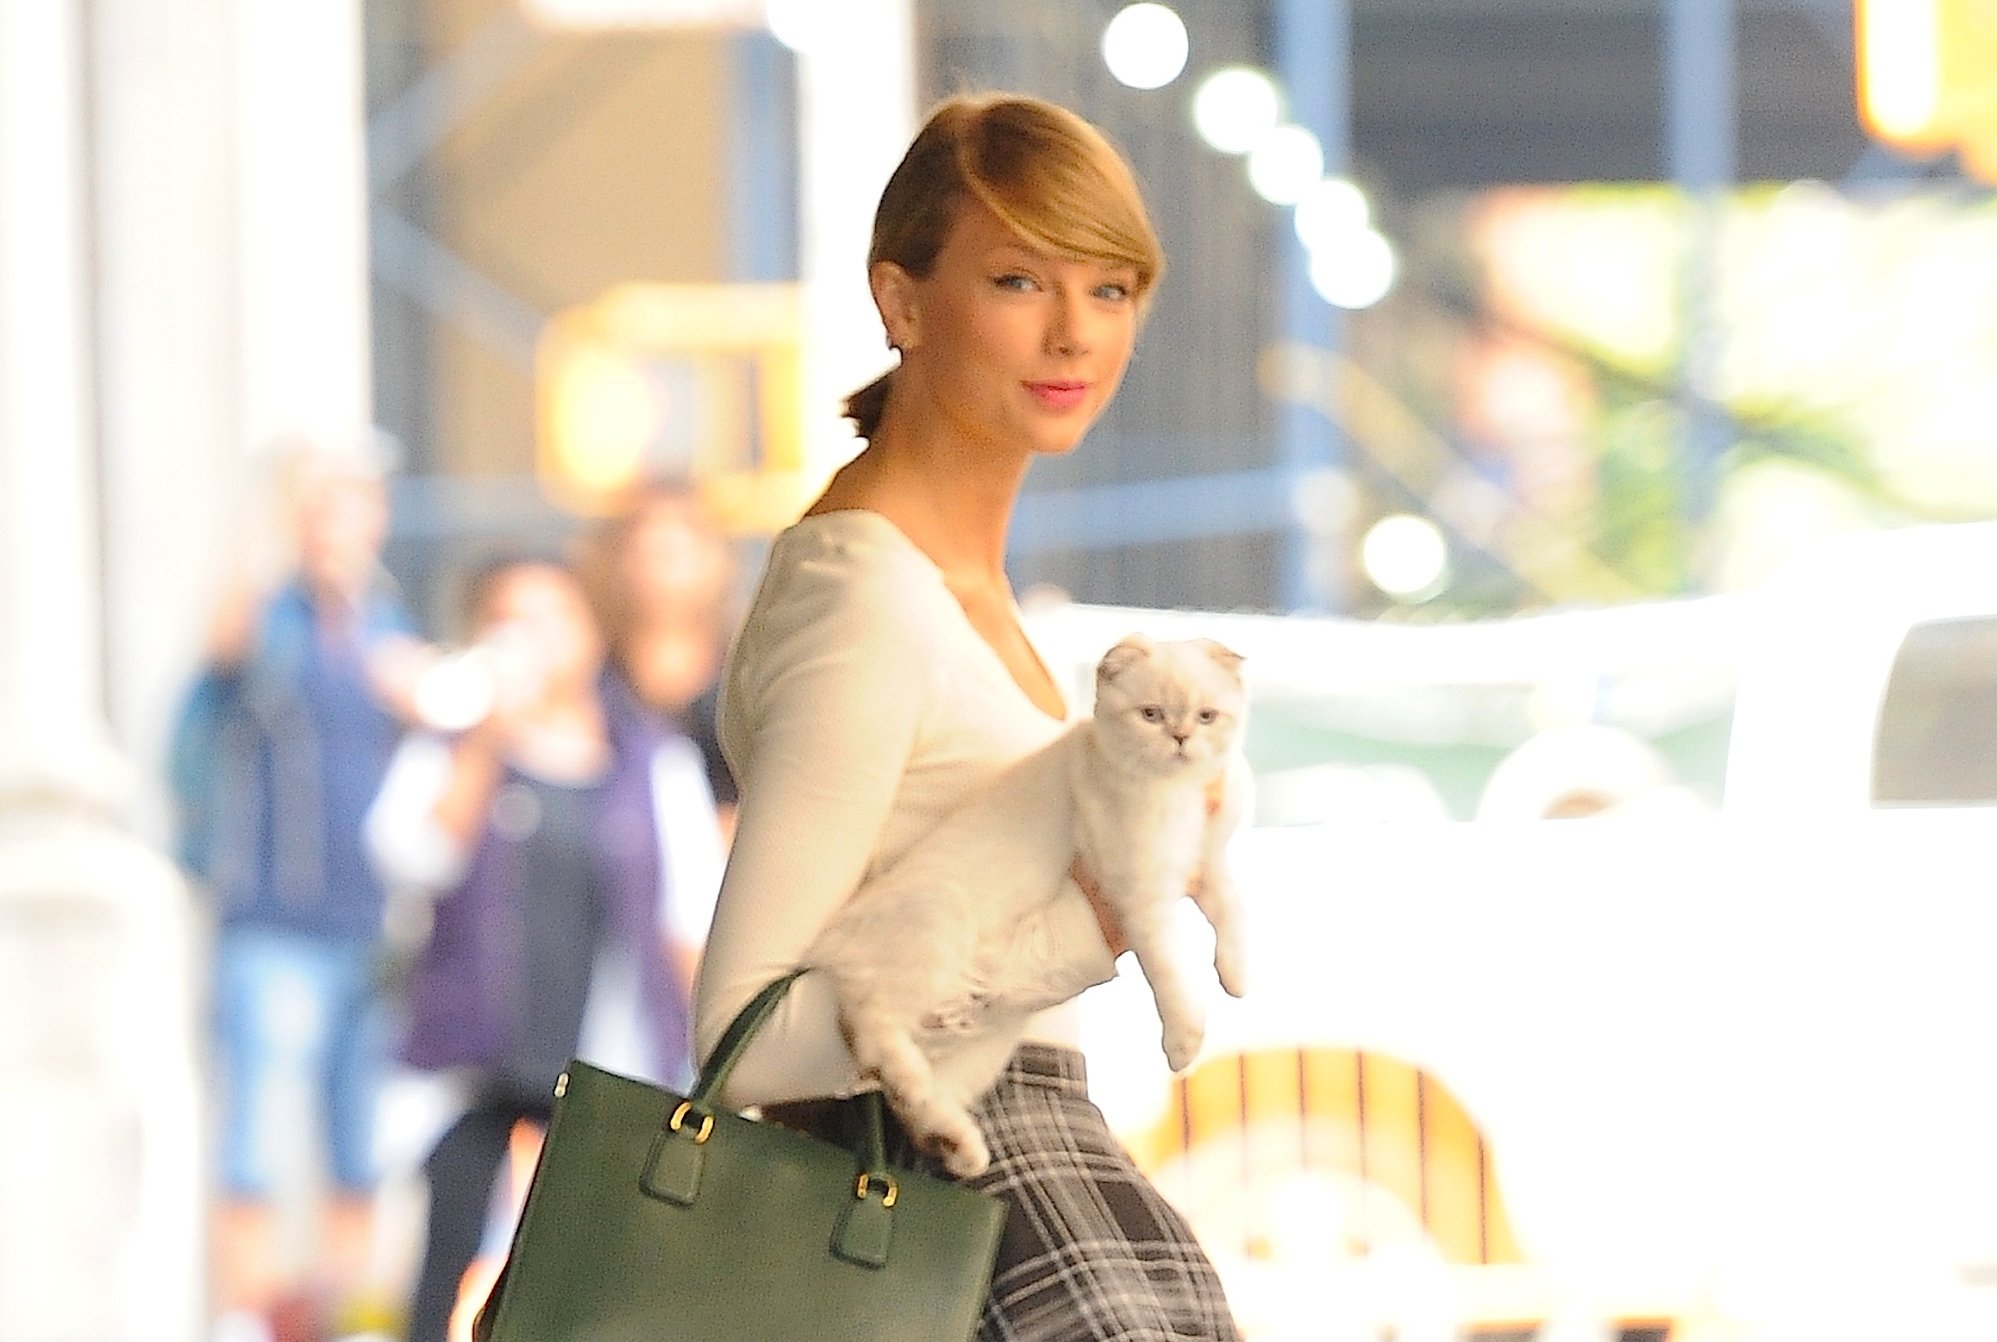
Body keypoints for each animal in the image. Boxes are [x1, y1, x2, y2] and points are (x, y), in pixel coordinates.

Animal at [798, 635, 1246, 1166]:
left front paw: (1236, 976)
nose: (1180, 737)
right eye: (1151, 714)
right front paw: (1183, 1045)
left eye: (1206, 716)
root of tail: (838, 934)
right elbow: (1171, 977)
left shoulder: (1208, 864)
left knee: (914, 1091)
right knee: (872, 1029)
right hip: (936, 942)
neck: (1177, 794)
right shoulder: (1141, 894)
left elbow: (1232, 914)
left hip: (982, 1050)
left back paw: (956, 1144)